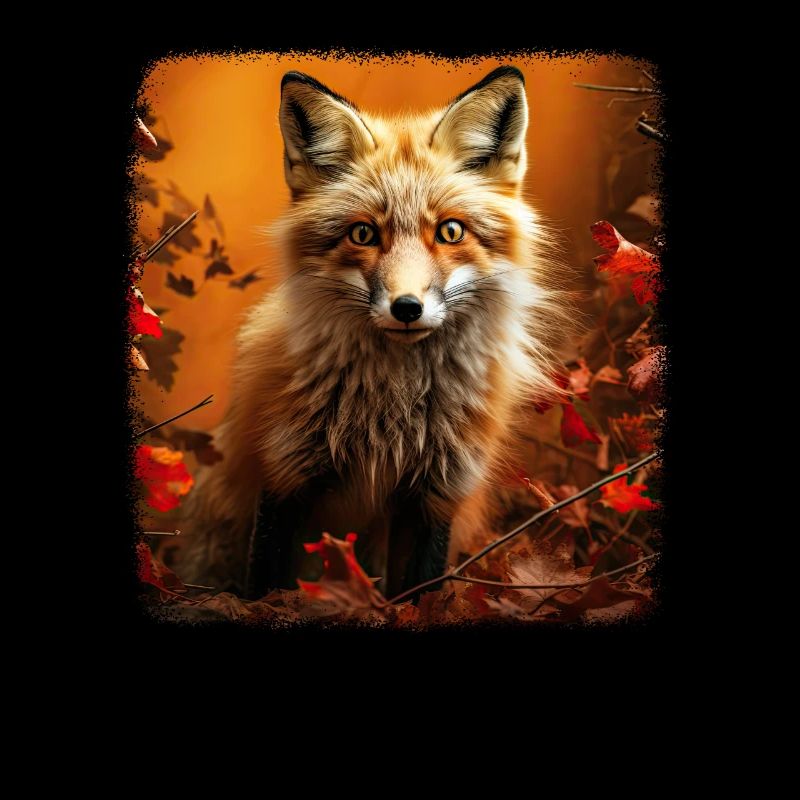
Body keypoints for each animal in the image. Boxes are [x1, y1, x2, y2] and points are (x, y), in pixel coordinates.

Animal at [178, 65, 573, 600]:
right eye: (363, 233)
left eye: (450, 232)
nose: (407, 308)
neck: (391, 412)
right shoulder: (284, 474)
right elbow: (266, 585)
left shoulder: (436, 494)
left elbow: (419, 592)